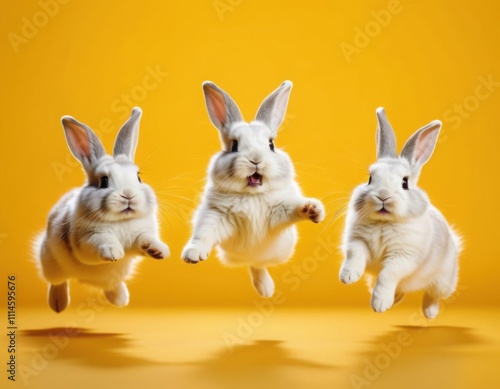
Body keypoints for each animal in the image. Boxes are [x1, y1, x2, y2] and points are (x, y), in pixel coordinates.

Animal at [35, 107, 170, 312]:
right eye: (104, 181)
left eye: (138, 177)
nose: (128, 195)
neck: (121, 221)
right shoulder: (87, 239)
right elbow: (102, 240)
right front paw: (113, 252)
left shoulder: (141, 233)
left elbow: (145, 240)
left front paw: (158, 251)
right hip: (50, 264)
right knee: (58, 282)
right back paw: (58, 304)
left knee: (111, 286)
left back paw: (120, 299)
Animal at [182, 79, 326, 298]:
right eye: (234, 145)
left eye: (271, 144)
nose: (256, 159)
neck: (252, 196)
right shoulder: (217, 215)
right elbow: (204, 233)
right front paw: (193, 254)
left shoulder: (280, 209)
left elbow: (294, 207)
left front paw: (313, 210)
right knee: (255, 266)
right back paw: (265, 289)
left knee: (258, 265)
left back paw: (266, 290)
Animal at [340, 107, 460, 318]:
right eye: (370, 179)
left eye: (405, 182)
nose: (383, 196)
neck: (383, 222)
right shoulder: (357, 241)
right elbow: (355, 255)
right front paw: (348, 277)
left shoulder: (403, 256)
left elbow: (387, 275)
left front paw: (379, 304)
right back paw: (395, 299)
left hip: (444, 282)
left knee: (433, 293)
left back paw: (429, 313)